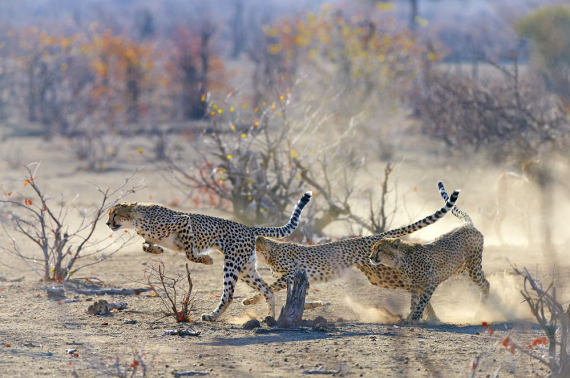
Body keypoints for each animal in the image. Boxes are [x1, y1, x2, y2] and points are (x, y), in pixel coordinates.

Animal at [106, 192, 310, 322]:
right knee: (267, 290)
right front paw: (156, 250)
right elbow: (145, 245)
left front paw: (206, 259)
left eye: (115, 213)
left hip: (232, 264)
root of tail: (248, 227)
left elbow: (189, 253)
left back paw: (212, 316)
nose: (108, 223)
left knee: (228, 295)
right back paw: (270, 318)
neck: (137, 219)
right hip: (246, 268)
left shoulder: (184, 221)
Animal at [242, 186, 460, 318]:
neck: (271, 252)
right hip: (377, 276)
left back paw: (430, 316)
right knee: (417, 287)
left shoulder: (290, 274)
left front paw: (249, 300)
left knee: (420, 285)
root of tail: (373, 237)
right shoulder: (302, 278)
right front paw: (312, 305)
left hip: (385, 273)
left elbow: (269, 288)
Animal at [368, 182, 488, 324]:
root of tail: (467, 226)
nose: (370, 257)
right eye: (373, 249)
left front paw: (415, 318)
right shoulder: (415, 286)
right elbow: (414, 303)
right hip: (461, 267)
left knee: (485, 283)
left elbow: (422, 302)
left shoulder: (431, 282)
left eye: (380, 250)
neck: (400, 261)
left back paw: (482, 309)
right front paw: (410, 318)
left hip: (473, 266)